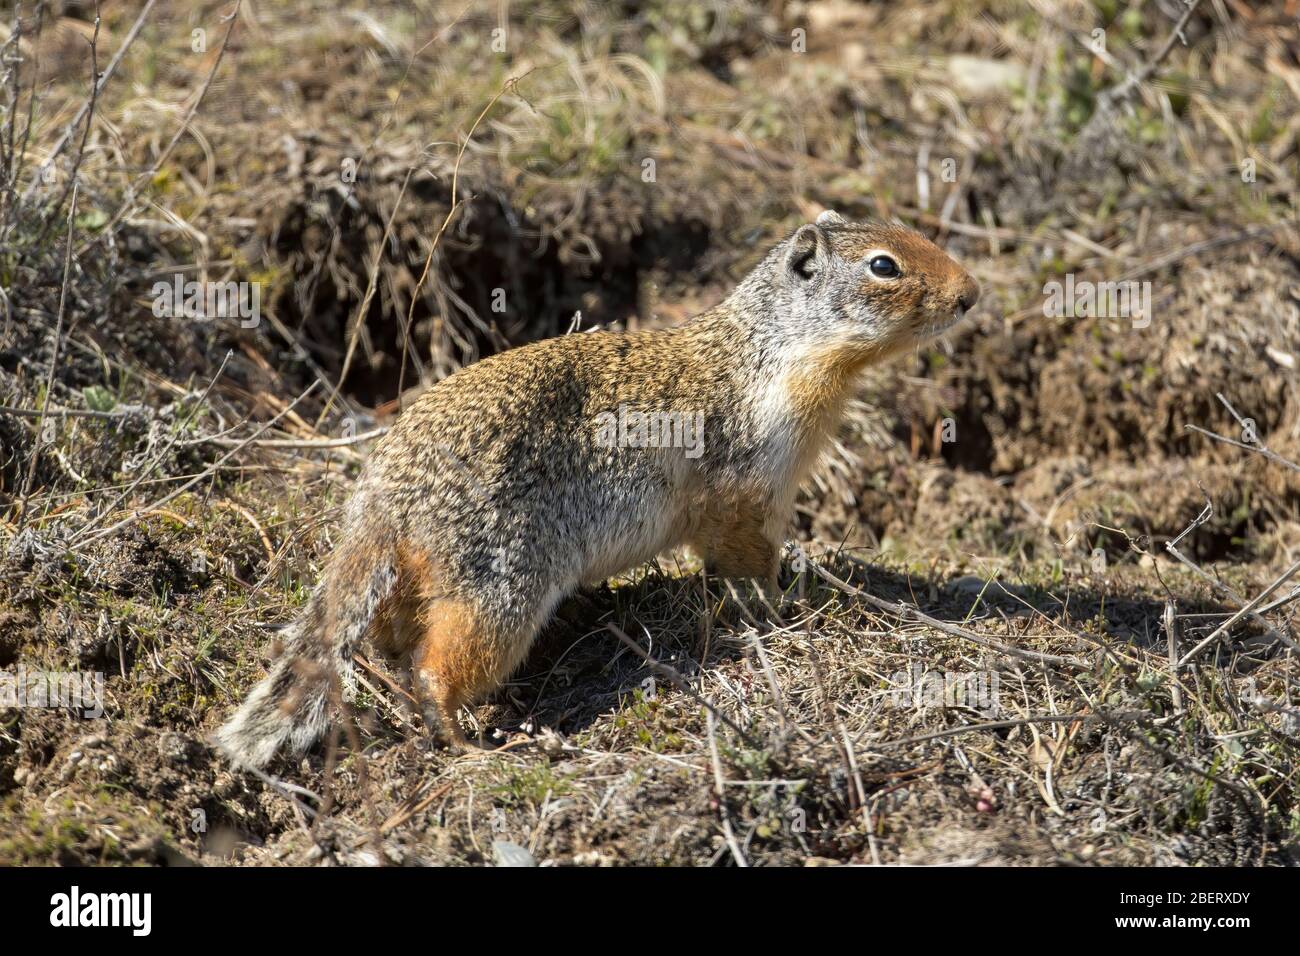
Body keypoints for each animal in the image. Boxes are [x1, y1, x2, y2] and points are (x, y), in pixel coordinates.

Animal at [218, 210, 977, 770]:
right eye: (884, 264)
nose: (971, 293)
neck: (774, 350)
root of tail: (384, 498)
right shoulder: (749, 485)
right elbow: (746, 557)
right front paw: (783, 609)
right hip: (500, 583)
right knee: (439, 665)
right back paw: (471, 743)